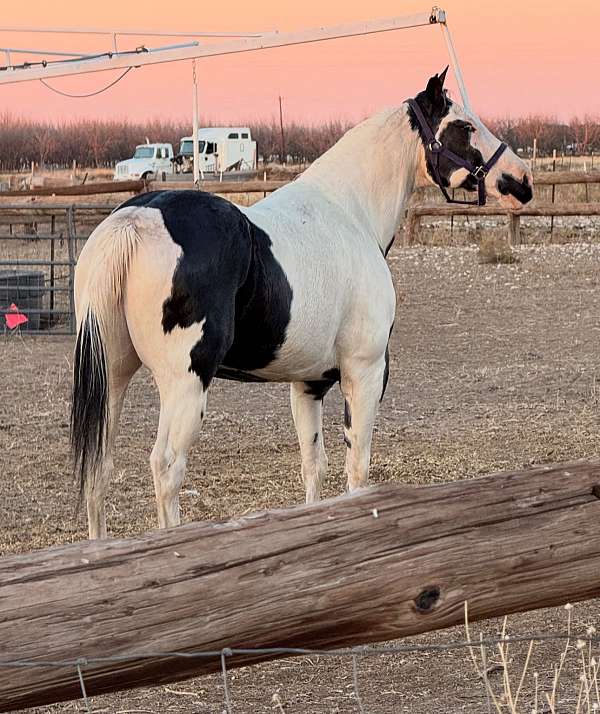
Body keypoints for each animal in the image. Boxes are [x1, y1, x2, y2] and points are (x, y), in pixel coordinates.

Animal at [71, 69, 533, 539]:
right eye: (465, 125)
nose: (521, 179)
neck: (350, 213)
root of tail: (135, 222)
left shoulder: (307, 385)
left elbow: (315, 467)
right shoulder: (364, 374)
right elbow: (357, 469)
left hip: (113, 377)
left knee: (98, 471)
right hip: (184, 385)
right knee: (166, 468)